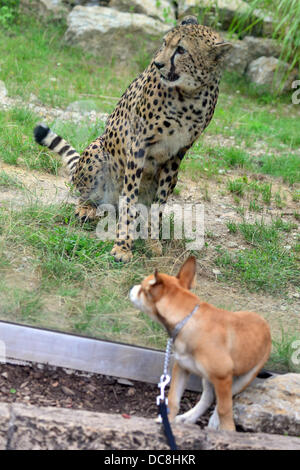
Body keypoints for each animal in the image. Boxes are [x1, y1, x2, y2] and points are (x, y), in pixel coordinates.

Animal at [34, 16, 232, 262]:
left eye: (181, 50)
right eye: (164, 43)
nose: (157, 64)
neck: (188, 94)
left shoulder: (176, 155)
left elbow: (158, 204)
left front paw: (152, 242)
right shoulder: (138, 145)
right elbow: (128, 197)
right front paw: (122, 247)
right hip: (98, 151)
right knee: (87, 196)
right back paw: (86, 209)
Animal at [129, 258, 272, 430]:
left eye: (142, 288)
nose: (132, 288)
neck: (186, 318)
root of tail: (265, 324)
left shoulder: (223, 377)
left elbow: (225, 409)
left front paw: (228, 431)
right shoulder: (181, 368)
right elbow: (173, 399)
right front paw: (166, 420)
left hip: (244, 378)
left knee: (224, 401)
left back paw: (214, 422)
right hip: (207, 377)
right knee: (208, 398)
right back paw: (188, 417)